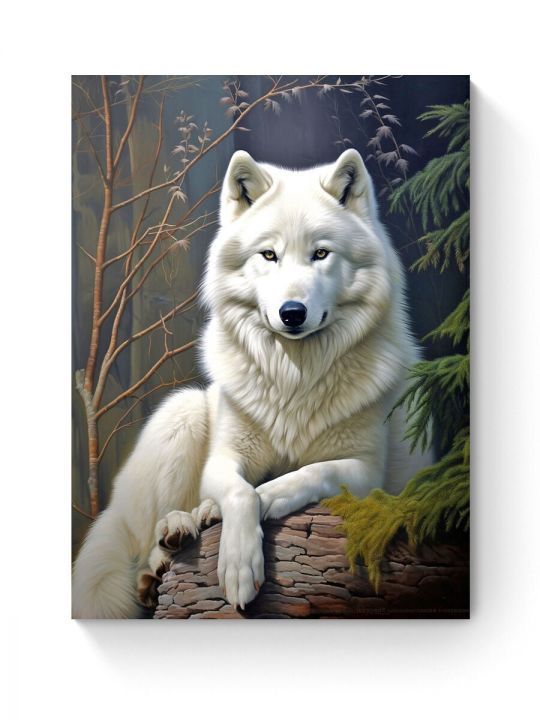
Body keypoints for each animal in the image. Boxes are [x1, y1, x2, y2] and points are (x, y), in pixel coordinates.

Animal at [72, 148, 432, 618]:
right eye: (269, 255)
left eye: (321, 253)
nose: (292, 312)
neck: (294, 379)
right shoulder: (224, 458)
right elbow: (241, 493)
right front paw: (239, 565)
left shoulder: (364, 469)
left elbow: (302, 475)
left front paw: (264, 499)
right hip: (183, 413)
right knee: (149, 540)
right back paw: (174, 536)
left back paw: (200, 520)